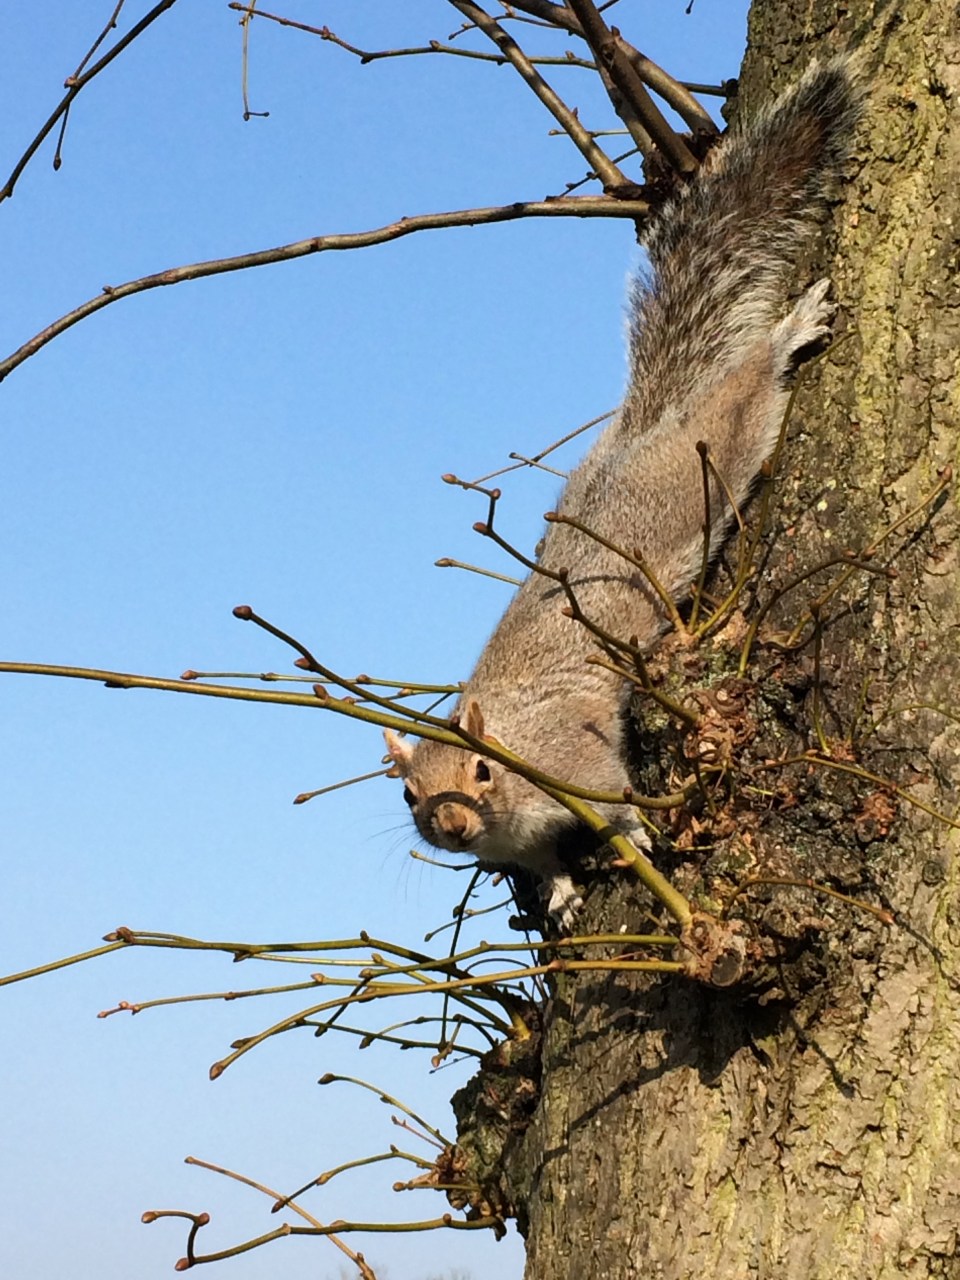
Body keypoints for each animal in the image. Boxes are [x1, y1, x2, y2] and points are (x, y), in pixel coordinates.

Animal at [384, 60, 861, 931]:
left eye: (482, 772)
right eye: (407, 797)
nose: (454, 827)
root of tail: (645, 429)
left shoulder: (575, 761)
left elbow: (613, 801)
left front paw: (633, 831)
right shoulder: (521, 843)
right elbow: (541, 863)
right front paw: (563, 894)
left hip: (705, 462)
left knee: (743, 396)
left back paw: (786, 336)